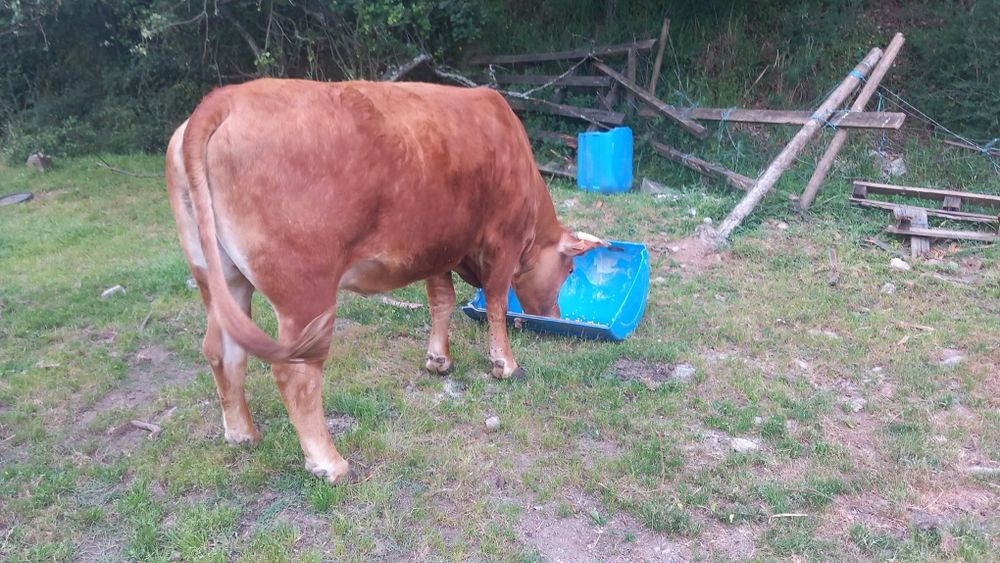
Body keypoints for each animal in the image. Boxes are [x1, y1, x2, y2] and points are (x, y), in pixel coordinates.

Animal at [165, 79, 607, 484]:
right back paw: (330, 463)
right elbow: (496, 302)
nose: (556, 313)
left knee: (222, 351)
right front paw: (505, 364)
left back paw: (242, 434)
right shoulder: (502, 242)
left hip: (220, 278)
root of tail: (227, 98)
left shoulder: (436, 248)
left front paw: (438, 360)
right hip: (304, 294)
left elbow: (441, 301)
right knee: (295, 374)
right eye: (569, 271)